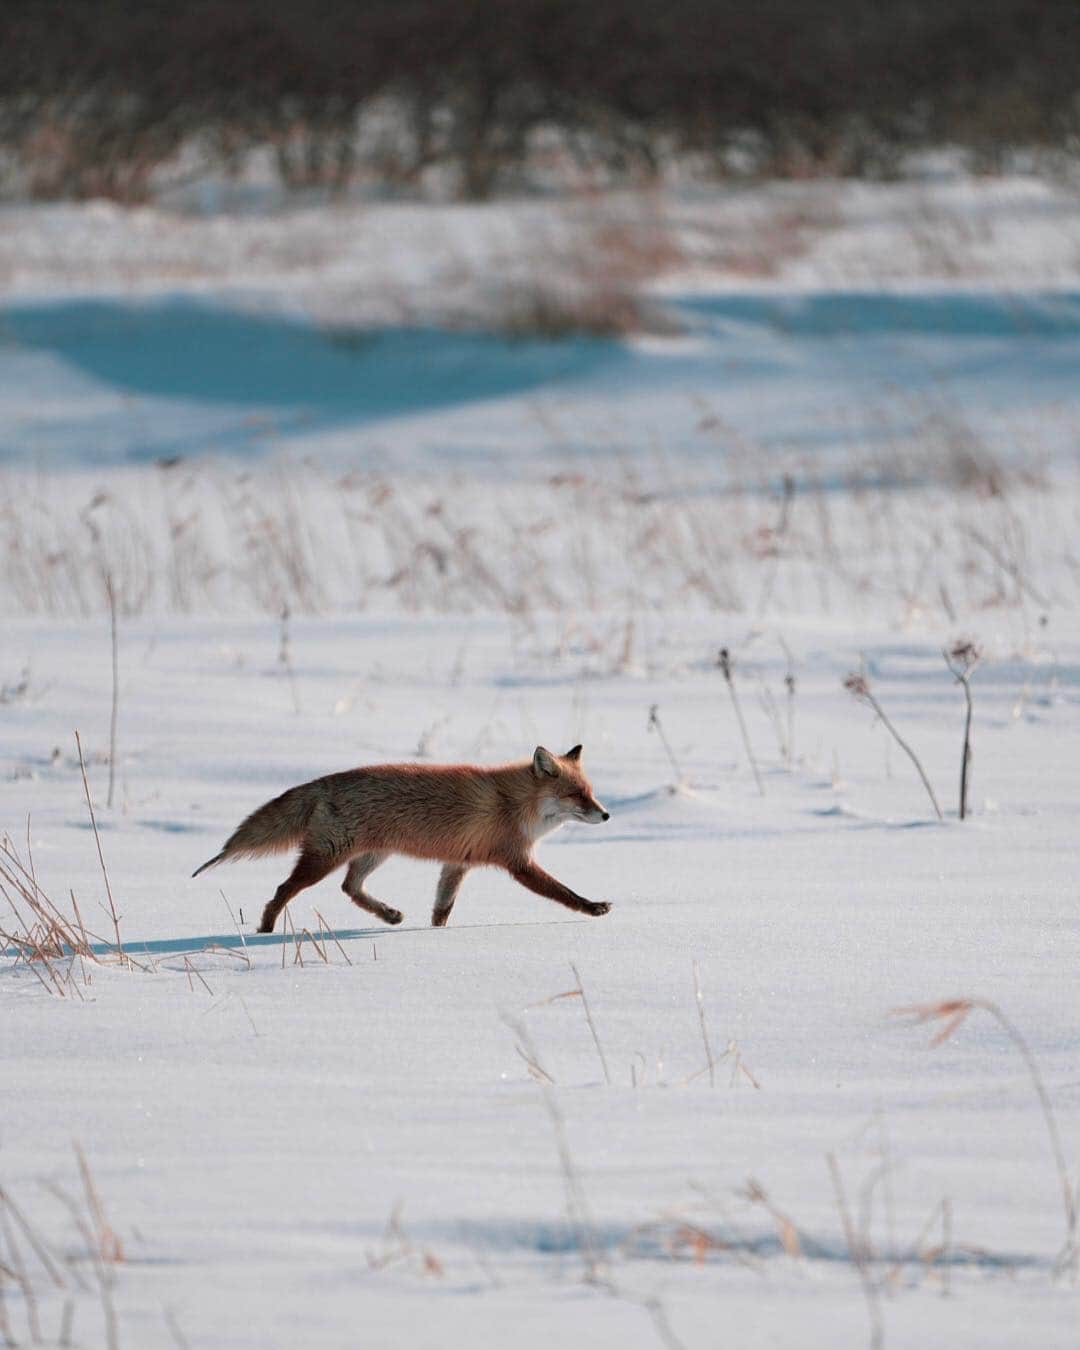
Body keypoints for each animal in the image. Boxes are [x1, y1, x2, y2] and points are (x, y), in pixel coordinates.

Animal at [192, 744, 612, 933]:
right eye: (577, 795)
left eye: (591, 792)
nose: (606, 814)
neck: (515, 804)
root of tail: (322, 783)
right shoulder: (518, 863)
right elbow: (563, 892)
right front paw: (592, 908)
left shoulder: (457, 863)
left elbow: (443, 907)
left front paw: (436, 934)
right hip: (326, 857)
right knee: (284, 889)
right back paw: (264, 931)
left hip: (373, 855)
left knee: (349, 887)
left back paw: (388, 915)